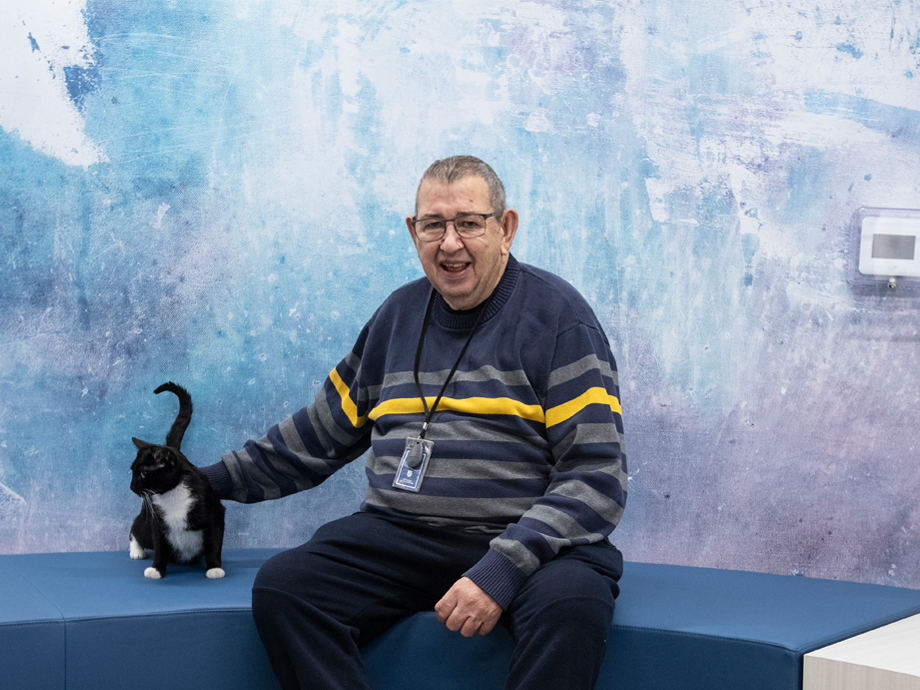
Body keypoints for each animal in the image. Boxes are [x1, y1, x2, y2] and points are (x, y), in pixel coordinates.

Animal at [128, 378, 226, 576]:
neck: (171, 496)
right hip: (146, 522)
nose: (132, 487)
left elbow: (215, 543)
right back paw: (136, 550)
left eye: (143, 473)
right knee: (137, 528)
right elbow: (159, 545)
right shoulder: (157, 522)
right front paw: (157, 569)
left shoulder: (216, 513)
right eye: (131, 471)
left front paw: (214, 568)